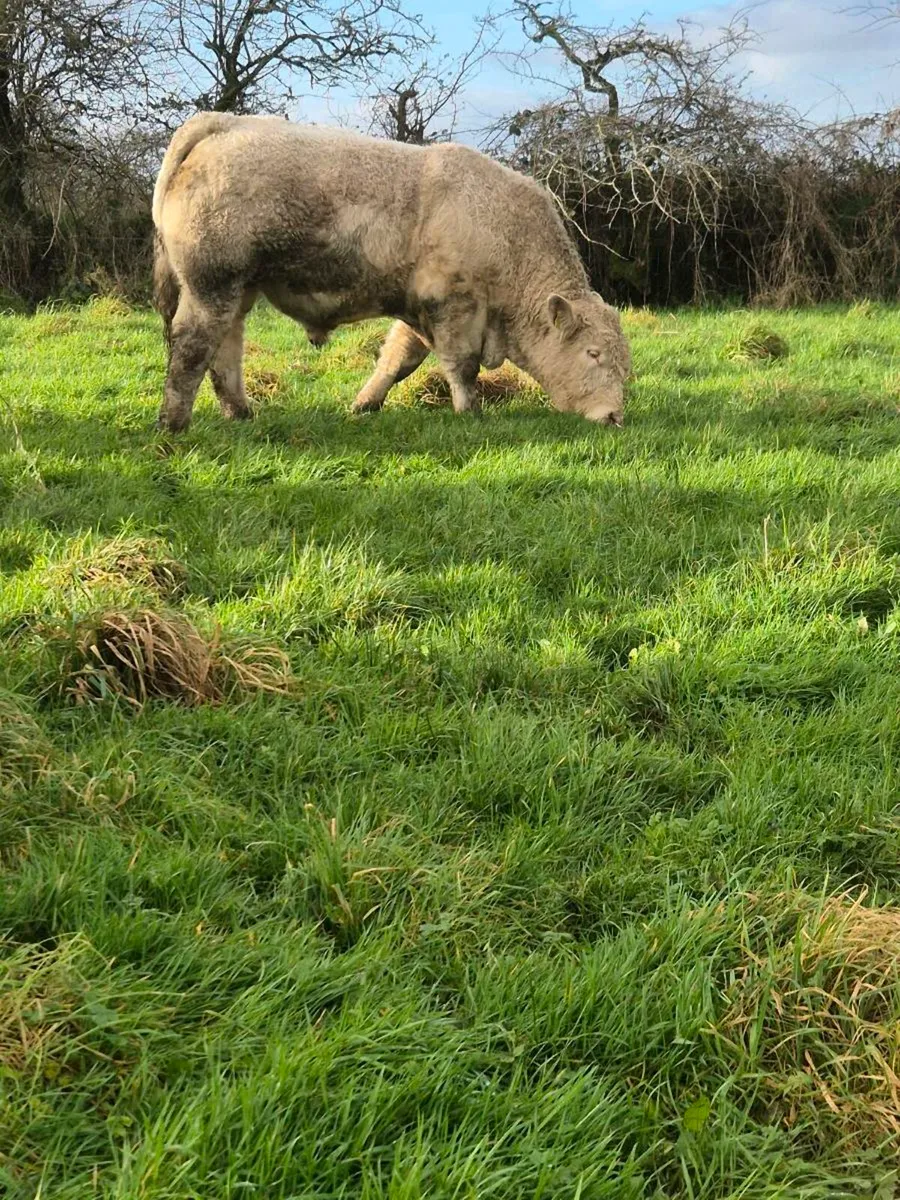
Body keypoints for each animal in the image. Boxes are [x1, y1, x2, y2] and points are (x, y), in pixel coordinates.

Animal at [152, 112, 631, 432]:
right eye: (593, 353)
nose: (614, 416)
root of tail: (223, 122)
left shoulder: (416, 306)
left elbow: (398, 360)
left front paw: (365, 404)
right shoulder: (452, 305)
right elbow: (462, 366)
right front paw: (470, 413)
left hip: (238, 288)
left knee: (225, 349)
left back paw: (241, 413)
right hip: (212, 282)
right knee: (193, 347)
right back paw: (174, 423)